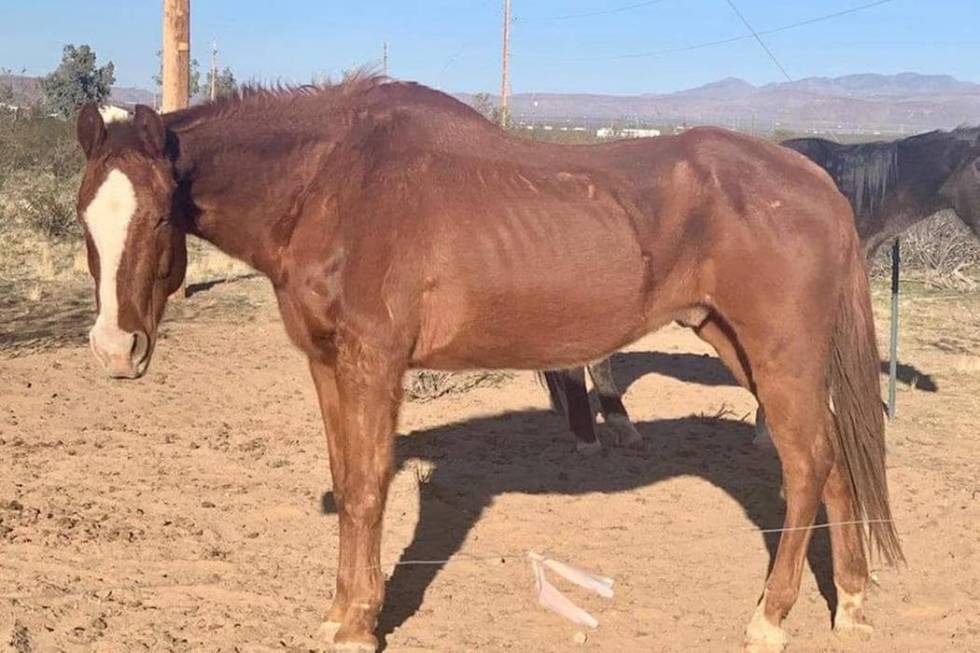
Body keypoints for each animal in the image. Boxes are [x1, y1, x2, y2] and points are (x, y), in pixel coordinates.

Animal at [72, 77, 904, 652]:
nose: (114, 349)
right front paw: (338, 613)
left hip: (781, 352)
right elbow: (348, 482)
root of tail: (818, 183)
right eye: (84, 217)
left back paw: (770, 617)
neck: (335, 182)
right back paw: (852, 601)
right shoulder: (327, 363)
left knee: (807, 462)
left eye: (157, 215)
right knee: (832, 463)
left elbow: (368, 490)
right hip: (736, 340)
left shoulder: (375, 363)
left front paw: (359, 626)